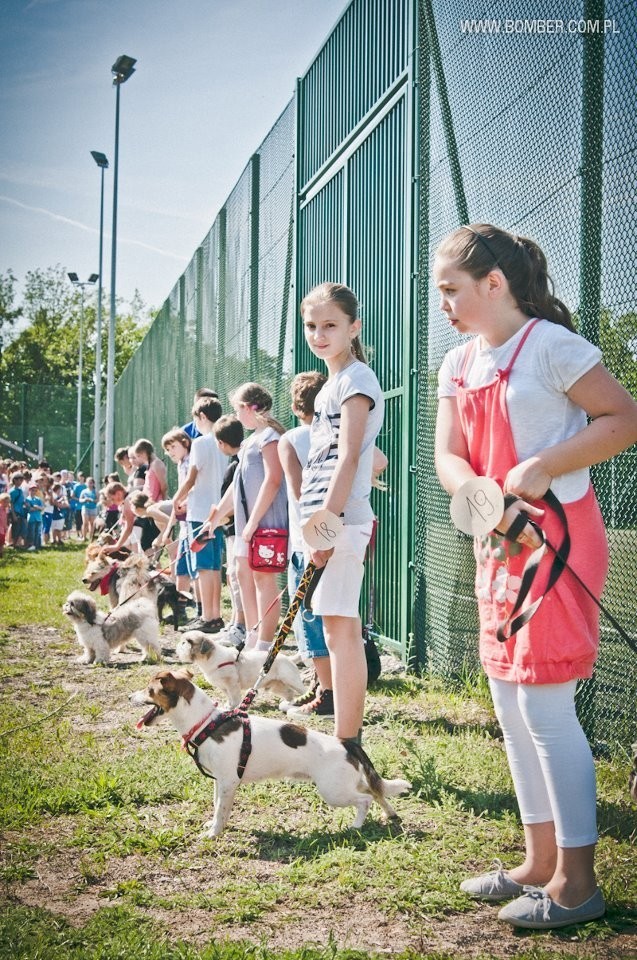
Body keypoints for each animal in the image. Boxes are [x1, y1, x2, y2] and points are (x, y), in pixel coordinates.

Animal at [131, 672, 410, 836]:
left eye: (148, 690)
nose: (130, 697)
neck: (206, 722)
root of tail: (345, 743)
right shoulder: (221, 782)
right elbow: (218, 807)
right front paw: (215, 826)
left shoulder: (228, 782)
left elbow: (221, 810)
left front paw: (213, 834)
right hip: (348, 783)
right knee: (376, 792)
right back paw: (390, 814)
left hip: (333, 791)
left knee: (365, 800)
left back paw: (356, 827)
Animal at [173, 632, 304, 704]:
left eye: (189, 641)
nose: (181, 643)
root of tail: (289, 659)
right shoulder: (223, 687)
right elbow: (229, 697)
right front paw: (229, 705)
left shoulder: (231, 684)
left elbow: (235, 697)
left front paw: (234, 707)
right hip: (276, 686)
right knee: (289, 692)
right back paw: (288, 702)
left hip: (292, 680)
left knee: (302, 689)